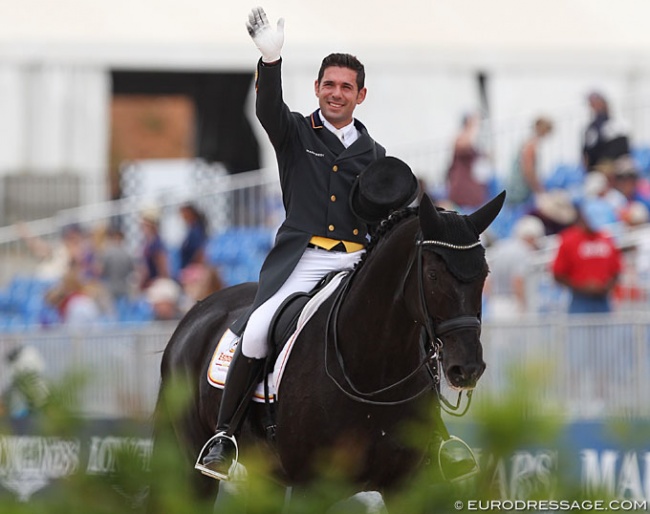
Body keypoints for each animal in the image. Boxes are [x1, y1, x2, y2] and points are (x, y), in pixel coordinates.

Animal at [154, 192, 504, 508]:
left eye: (484, 274)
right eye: (432, 275)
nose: (467, 368)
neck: (373, 374)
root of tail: (198, 311)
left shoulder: (403, 487)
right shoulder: (312, 488)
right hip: (194, 465)